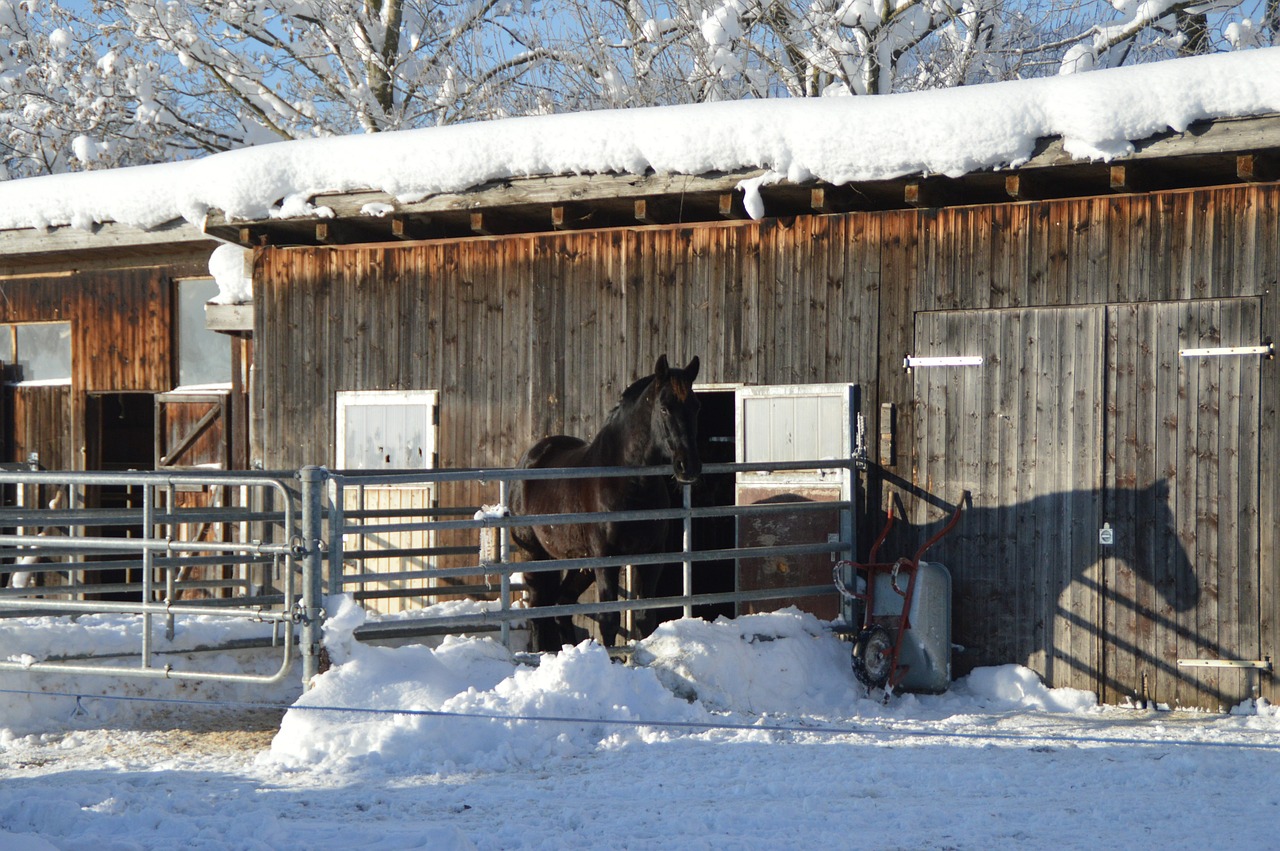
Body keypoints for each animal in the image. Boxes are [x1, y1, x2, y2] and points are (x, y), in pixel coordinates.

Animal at [509, 350, 706, 650]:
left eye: (695, 407)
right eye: (664, 408)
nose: (689, 467)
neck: (629, 484)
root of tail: (529, 458)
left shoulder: (651, 558)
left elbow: (645, 618)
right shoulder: (607, 559)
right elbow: (609, 619)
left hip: (580, 564)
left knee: (561, 607)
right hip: (534, 555)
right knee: (538, 612)